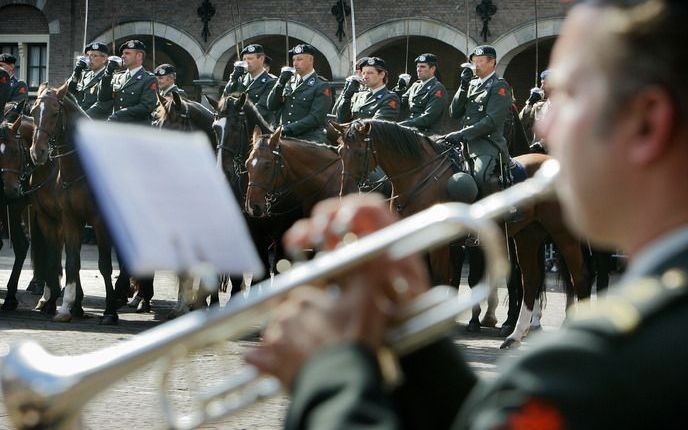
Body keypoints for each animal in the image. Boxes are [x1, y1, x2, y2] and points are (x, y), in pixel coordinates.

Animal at [28, 81, 119, 322]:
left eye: (55, 112)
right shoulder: (68, 219)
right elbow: (71, 262)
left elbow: (105, 265)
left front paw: (110, 311)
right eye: (33, 111)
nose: (38, 152)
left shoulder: (99, 221)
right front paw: (66, 306)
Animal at [334, 119, 592, 348]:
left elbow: (438, 281)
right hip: (528, 236)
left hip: (563, 235)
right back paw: (514, 336)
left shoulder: (439, 245)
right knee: (530, 280)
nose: (345, 194)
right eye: (340, 151)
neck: (421, 179)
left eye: (359, 152)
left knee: (578, 278)